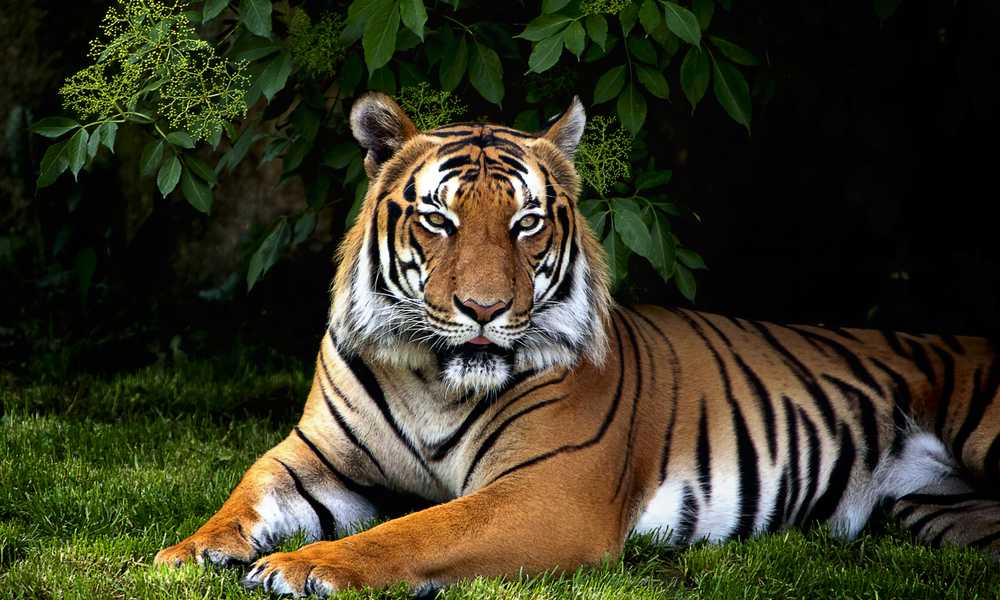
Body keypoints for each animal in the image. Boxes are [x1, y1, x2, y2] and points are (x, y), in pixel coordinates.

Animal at [152, 91, 1000, 592]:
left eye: (527, 222)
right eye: (439, 219)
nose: (484, 309)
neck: (433, 378)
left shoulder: (547, 492)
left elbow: (415, 529)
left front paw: (303, 568)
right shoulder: (315, 457)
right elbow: (246, 493)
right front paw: (188, 551)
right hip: (943, 515)